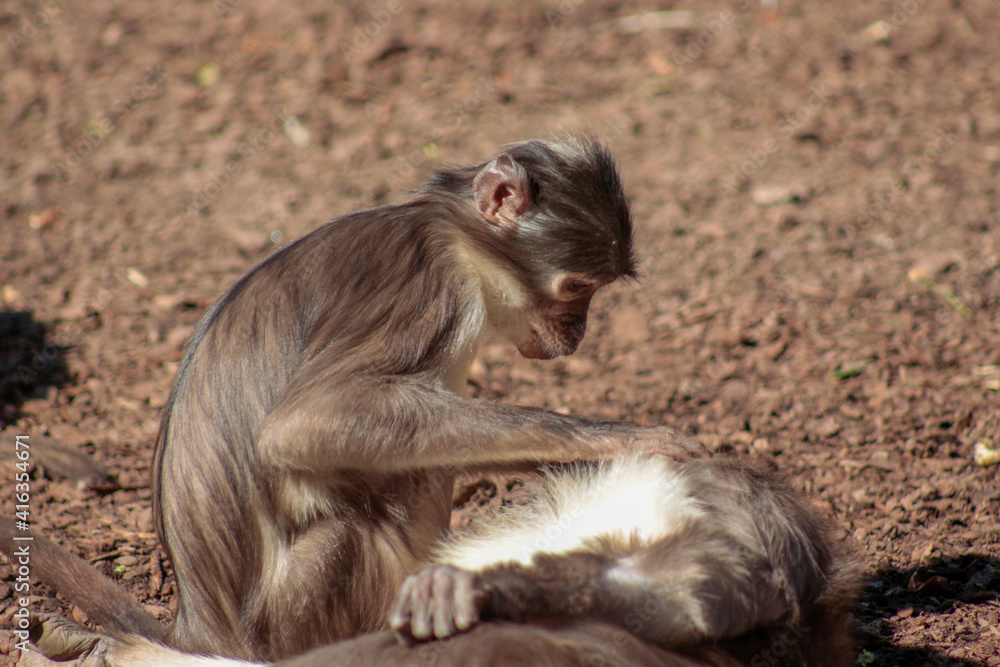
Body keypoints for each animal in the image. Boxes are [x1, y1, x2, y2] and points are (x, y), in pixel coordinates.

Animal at [148, 137, 712, 664]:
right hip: (294, 610)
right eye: (577, 288)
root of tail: (201, 632)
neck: (456, 235)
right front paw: (620, 440)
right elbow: (302, 422)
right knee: (346, 527)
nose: (579, 332)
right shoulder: (431, 283)